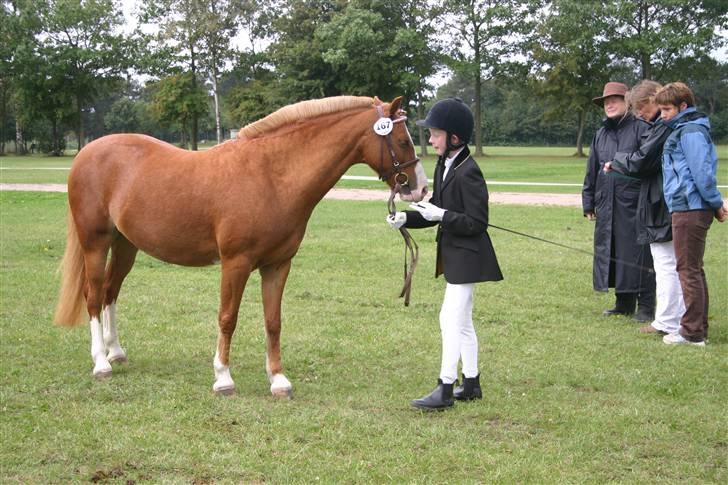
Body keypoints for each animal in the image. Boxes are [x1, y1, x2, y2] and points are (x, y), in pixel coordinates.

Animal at [55, 95, 426, 398]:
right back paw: (101, 362)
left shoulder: (278, 264)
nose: (420, 189)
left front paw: (278, 380)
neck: (271, 176)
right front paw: (223, 378)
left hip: (126, 247)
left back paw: (116, 352)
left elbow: (273, 321)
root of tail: (87, 152)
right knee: (93, 295)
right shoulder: (236, 262)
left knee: (111, 293)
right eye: (402, 140)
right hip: (95, 243)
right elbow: (228, 317)